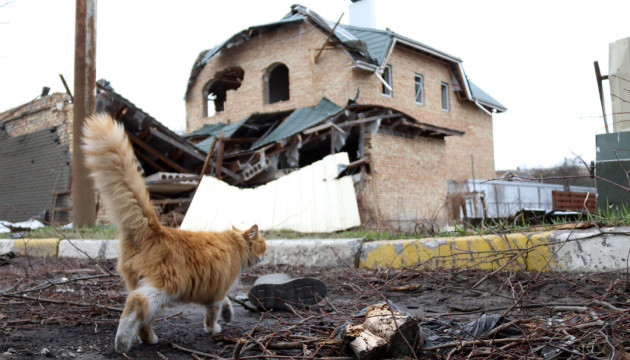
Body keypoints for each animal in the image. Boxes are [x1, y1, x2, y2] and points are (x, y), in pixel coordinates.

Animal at [82, 114, 266, 352]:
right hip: (164, 286)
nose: (266, 255)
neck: (235, 245)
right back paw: (122, 342)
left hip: (141, 284)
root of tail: (154, 229)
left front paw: (227, 315)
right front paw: (213, 329)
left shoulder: (215, 290)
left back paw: (147, 339)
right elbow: (212, 314)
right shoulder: (216, 292)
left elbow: (225, 303)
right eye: (264, 246)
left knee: (143, 318)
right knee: (136, 304)